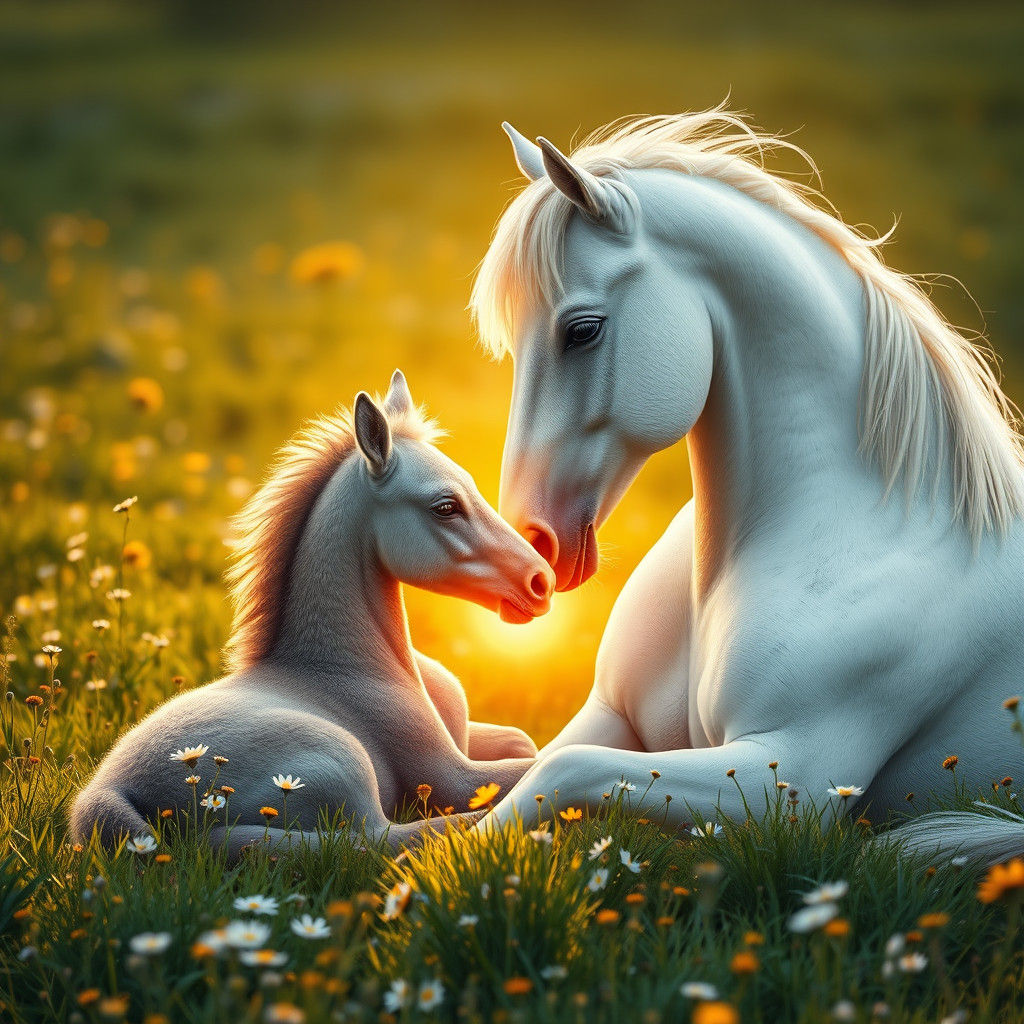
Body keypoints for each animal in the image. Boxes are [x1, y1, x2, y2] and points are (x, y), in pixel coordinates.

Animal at [71, 371, 554, 857]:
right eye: (445, 507)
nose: (541, 581)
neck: (346, 667)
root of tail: (106, 793)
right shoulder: (449, 775)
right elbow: (528, 763)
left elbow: (523, 739)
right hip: (344, 764)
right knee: (369, 840)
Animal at [469, 108, 1024, 862]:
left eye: (582, 331)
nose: (530, 544)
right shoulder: (611, 715)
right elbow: (520, 777)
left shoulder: (788, 779)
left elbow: (560, 771)